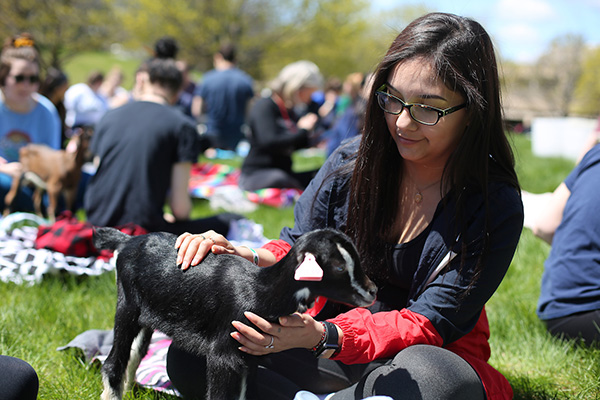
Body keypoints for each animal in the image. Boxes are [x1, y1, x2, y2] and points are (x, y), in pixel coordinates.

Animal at [92, 228, 376, 400]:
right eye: (338, 266)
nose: (372, 291)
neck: (259, 290)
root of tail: (127, 241)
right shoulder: (222, 355)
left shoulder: (249, 353)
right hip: (127, 306)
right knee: (113, 361)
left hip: (147, 314)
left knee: (135, 352)